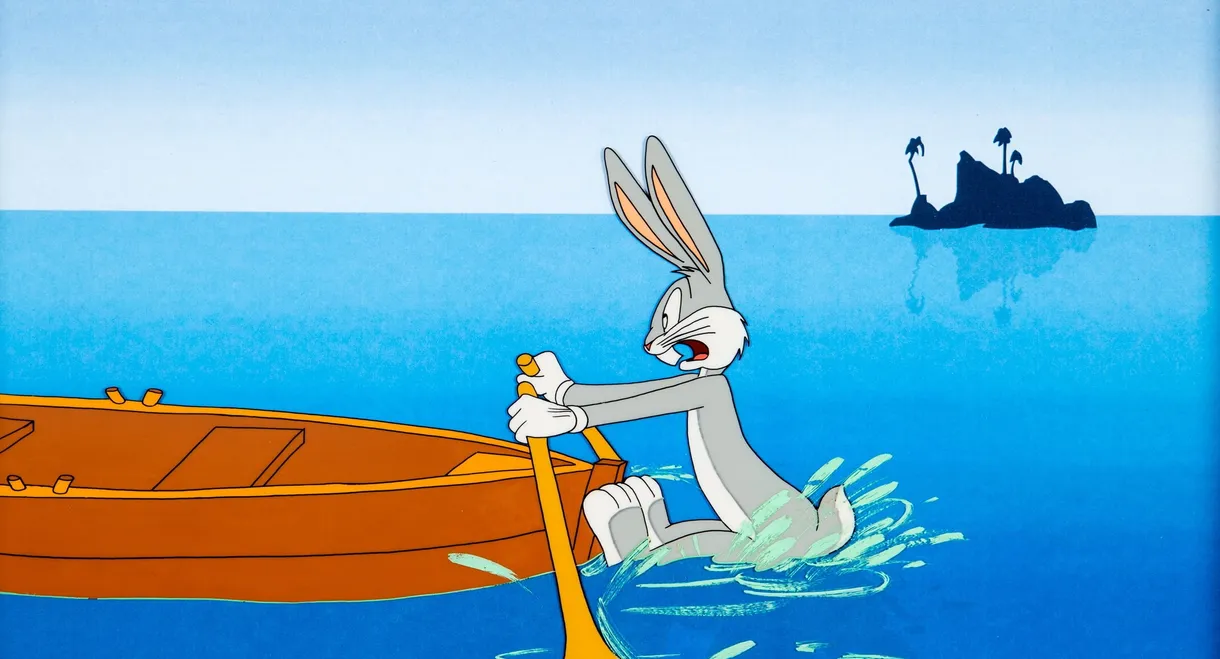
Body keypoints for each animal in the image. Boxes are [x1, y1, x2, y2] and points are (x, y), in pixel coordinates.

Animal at [508, 136, 855, 568]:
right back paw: (637, 504)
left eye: (668, 313)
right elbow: (635, 391)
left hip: (756, 546)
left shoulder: (706, 388)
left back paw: (618, 515)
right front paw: (551, 380)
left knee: (678, 550)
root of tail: (823, 535)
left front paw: (547, 417)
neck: (712, 370)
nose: (646, 344)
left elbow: (646, 401)